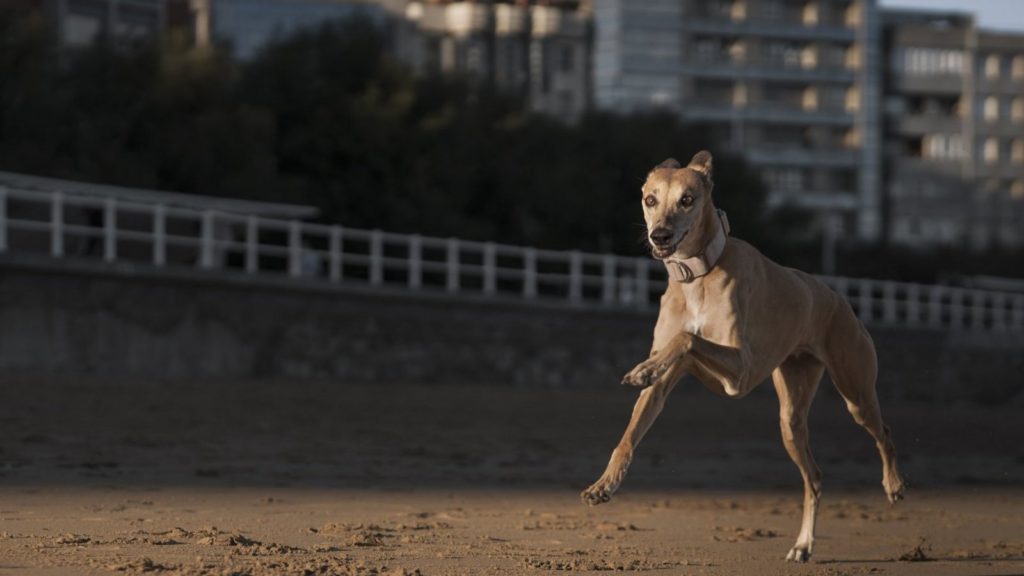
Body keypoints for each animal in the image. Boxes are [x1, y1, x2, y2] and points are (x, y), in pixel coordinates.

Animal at [581, 151, 909, 561]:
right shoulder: (670, 386)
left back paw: (893, 484)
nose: (660, 236)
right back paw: (803, 545)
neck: (697, 276)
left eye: (687, 200)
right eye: (650, 199)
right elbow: (630, 431)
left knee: (884, 432)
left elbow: (687, 339)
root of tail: (840, 300)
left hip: (856, 391)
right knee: (815, 477)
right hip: (790, 419)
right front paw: (604, 484)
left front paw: (645, 368)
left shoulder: (740, 374)